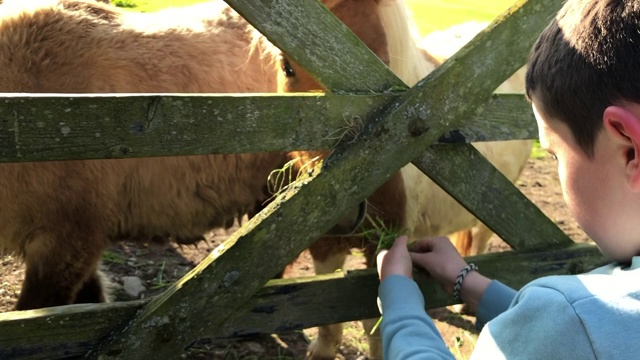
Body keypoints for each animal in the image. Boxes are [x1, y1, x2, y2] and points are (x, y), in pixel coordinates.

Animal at [278, 2, 532, 358]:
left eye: (380, 65)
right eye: (287, 66)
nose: (343, 213)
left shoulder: (380, 250)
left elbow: (374, 326)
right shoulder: (325, 245)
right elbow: (326, 309)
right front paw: (322, 349)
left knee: (480, 235)